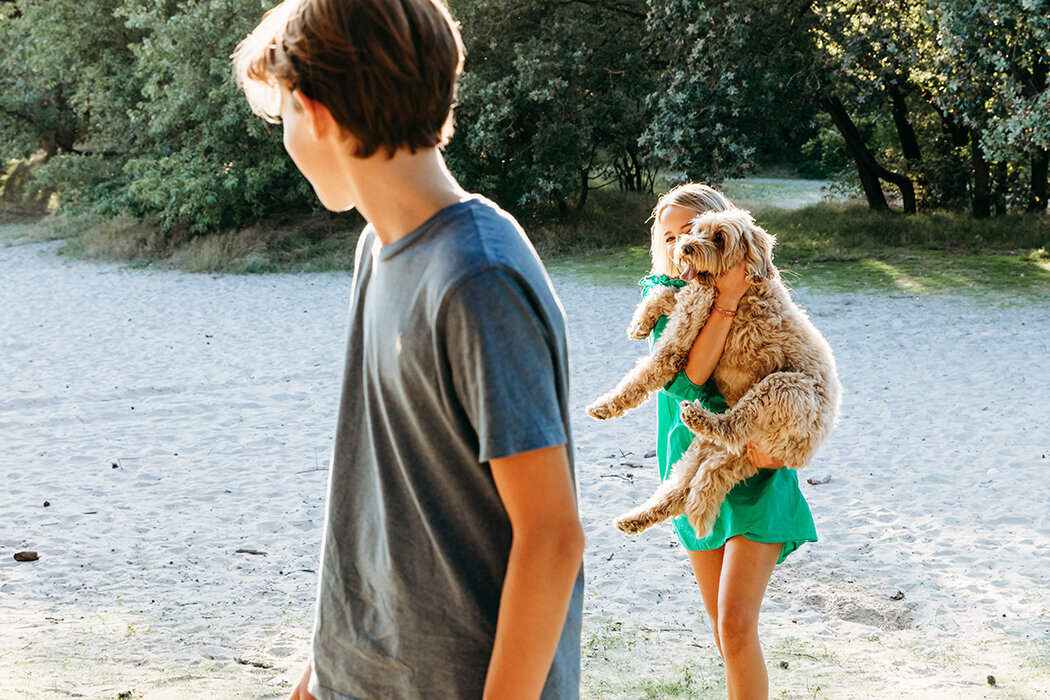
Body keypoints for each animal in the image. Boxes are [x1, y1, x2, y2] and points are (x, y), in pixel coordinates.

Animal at [588, 207, 839, 537]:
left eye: (720, 238)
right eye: (695, 231)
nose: (685, 248)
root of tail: (806, 450)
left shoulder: (680, 336)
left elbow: (646, 373)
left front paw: (605, 405)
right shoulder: (689, 300)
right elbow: (664, 290)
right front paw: (640, 323)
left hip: (783, 388)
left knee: (731, 428)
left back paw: (700, 418)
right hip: (719, 451)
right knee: (682, 488)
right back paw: (635, 518)